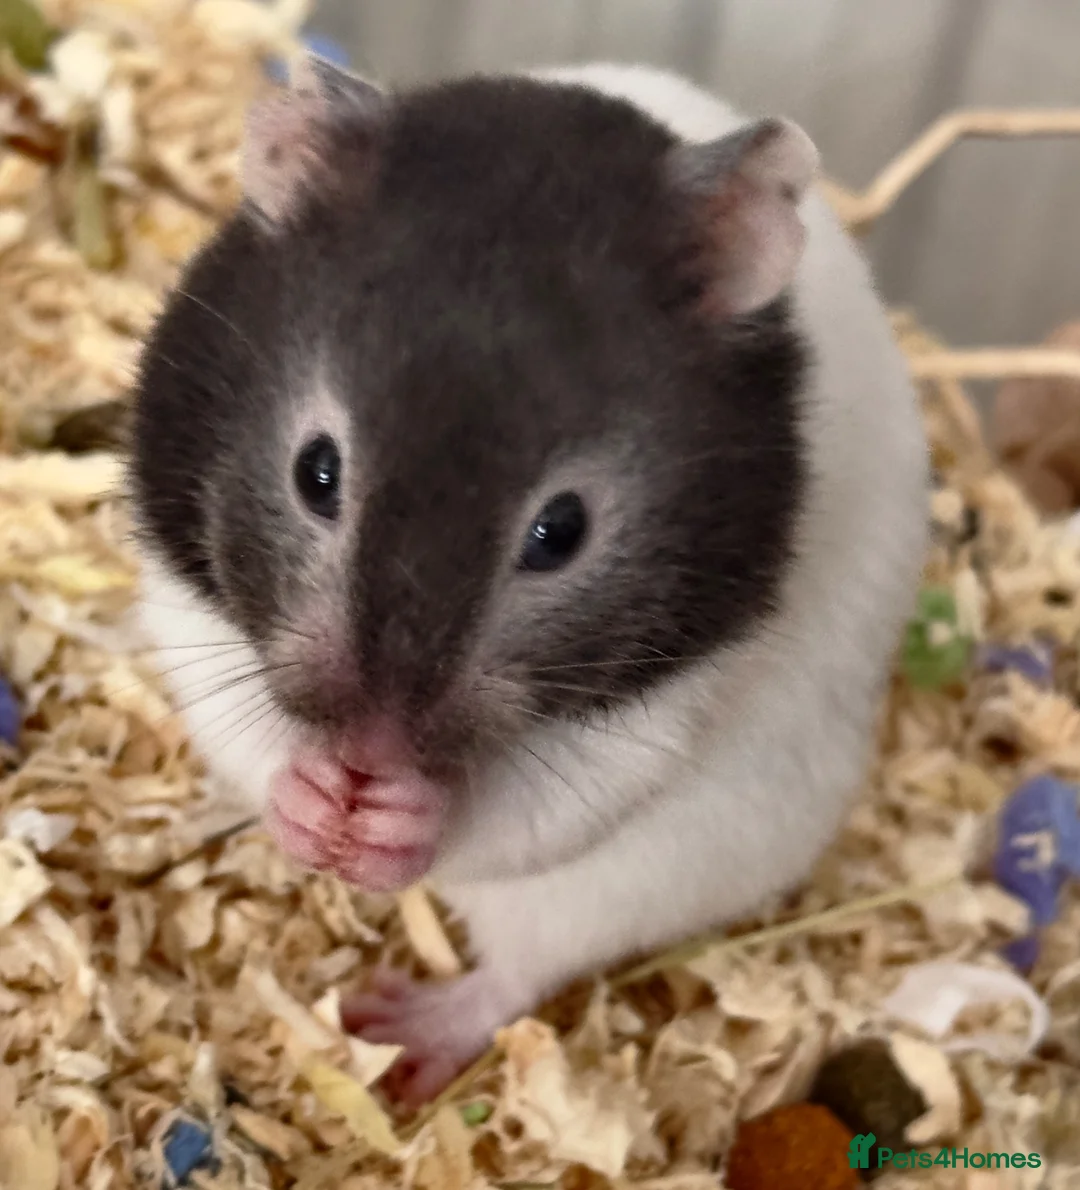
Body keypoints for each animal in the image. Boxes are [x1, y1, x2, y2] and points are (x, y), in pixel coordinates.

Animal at [128, 57, 929, 1104]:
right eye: (316, 472)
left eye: (562, 532)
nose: (372, 751)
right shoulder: (190, 605)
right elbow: (253, 739)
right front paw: (315, 803)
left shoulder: (652, 720)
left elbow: (508, 811)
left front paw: (389, 821)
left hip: (644, 875)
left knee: (519, 969)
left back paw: (397, 1040)